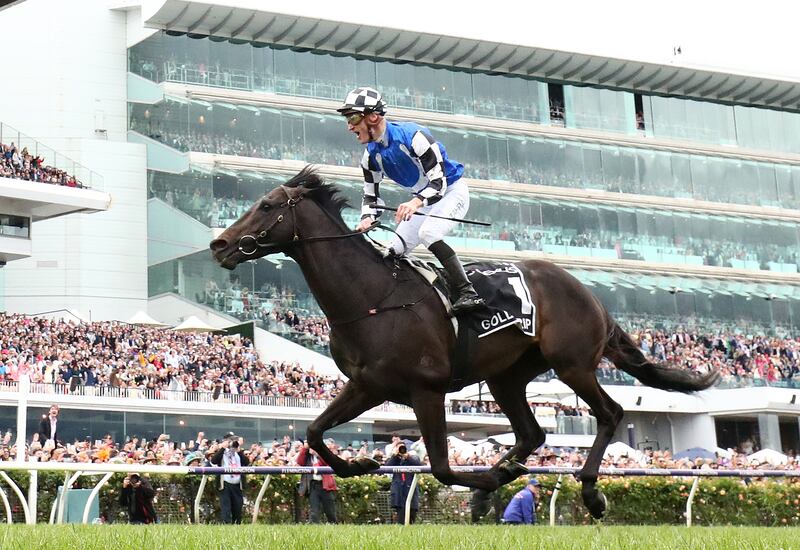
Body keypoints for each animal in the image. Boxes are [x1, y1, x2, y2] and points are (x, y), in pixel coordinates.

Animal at [208, 167, 720, 516]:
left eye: (268, 205)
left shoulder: (426, 388)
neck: (372, 297)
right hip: (506, 377)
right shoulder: (368, 385)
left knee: (609, 414)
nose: (219, 245)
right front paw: (362, 465)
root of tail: (588, 293)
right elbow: (315, 431)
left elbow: (440, 467)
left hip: (572, 364)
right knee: (532, 433)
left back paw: (590, 492)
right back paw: (507, 471)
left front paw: (486, 477)